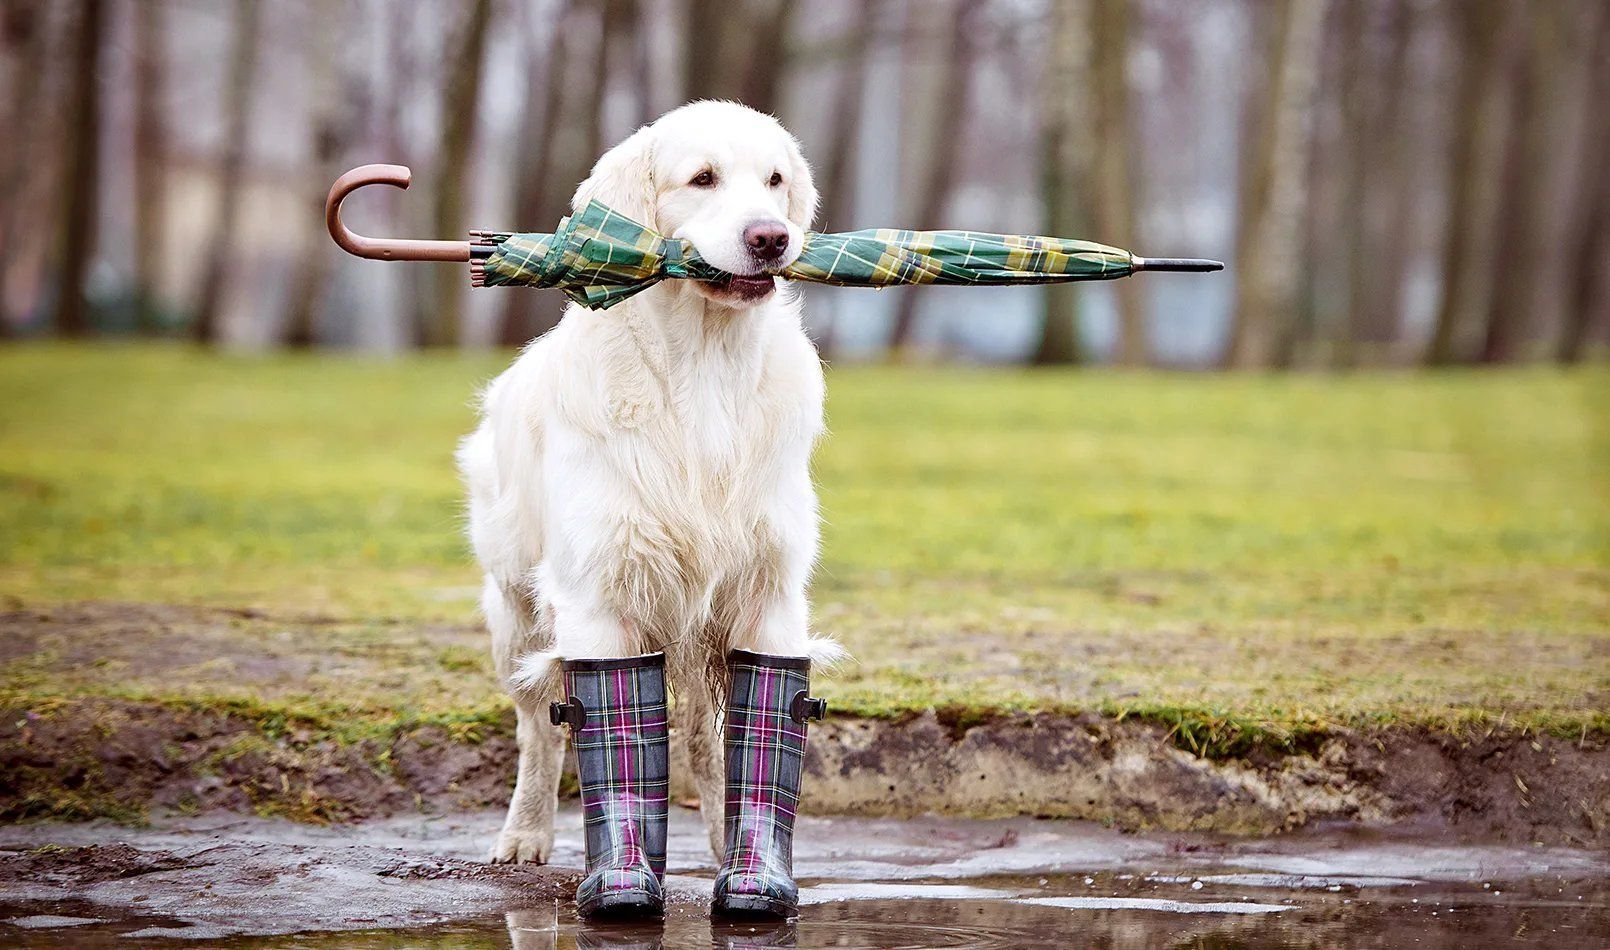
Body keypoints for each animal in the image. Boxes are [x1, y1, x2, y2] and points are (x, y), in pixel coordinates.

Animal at [457, 100, 843, 869]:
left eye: (775, 180)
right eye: (702, 179)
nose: (771, 237)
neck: (706, 367)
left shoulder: (767, 591)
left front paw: (750, 861)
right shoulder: (599, 593)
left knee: (701, 736)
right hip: (514, 610)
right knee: (538, 730)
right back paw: (525, 833)